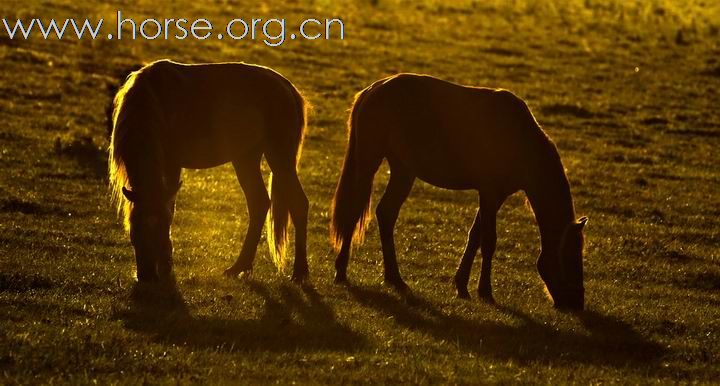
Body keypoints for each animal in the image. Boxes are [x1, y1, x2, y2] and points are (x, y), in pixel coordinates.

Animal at [109, 61, 310, 284]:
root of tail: (288, 87)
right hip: (246, 158)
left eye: (161, 227)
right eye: (134, 227)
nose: (148, 276)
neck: (154, 100)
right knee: (259, 203)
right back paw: (239, 267)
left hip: (279, 157)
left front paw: (167, 266)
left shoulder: (172, 164)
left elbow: (171, 207)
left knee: (299, 204)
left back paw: (299, 272)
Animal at [330, 74, 588, 310]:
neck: (519, 138)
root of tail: (372, 89)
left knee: (386, 213)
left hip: (403, 170)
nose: (577, 303)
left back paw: (395, 279)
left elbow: (475, 237)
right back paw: (341, 272)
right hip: (369, 161)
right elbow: (488, 241)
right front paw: (485, 292)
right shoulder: (490, 193)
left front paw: (462, 286)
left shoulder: (495, 196)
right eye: (571, 256)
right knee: (354, 210)